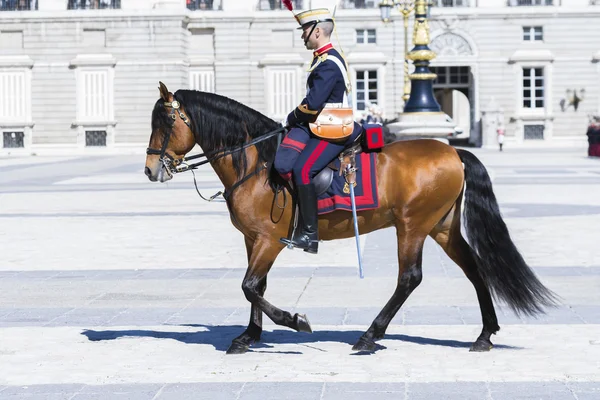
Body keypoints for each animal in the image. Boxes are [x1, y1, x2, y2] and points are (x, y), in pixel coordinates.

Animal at [143, 81, 556, 354]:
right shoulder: (252, 239)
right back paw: (484, 334)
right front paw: (249, 335)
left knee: (410, 278)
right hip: (442, 228)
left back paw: (370, 335)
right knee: (473, 269)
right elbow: (256, 287)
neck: (257, 162)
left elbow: (249, 286)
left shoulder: (269, 240)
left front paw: (295, 321)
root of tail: (453, 151)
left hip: (412, 227)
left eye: (165, 124)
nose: (149, 170)